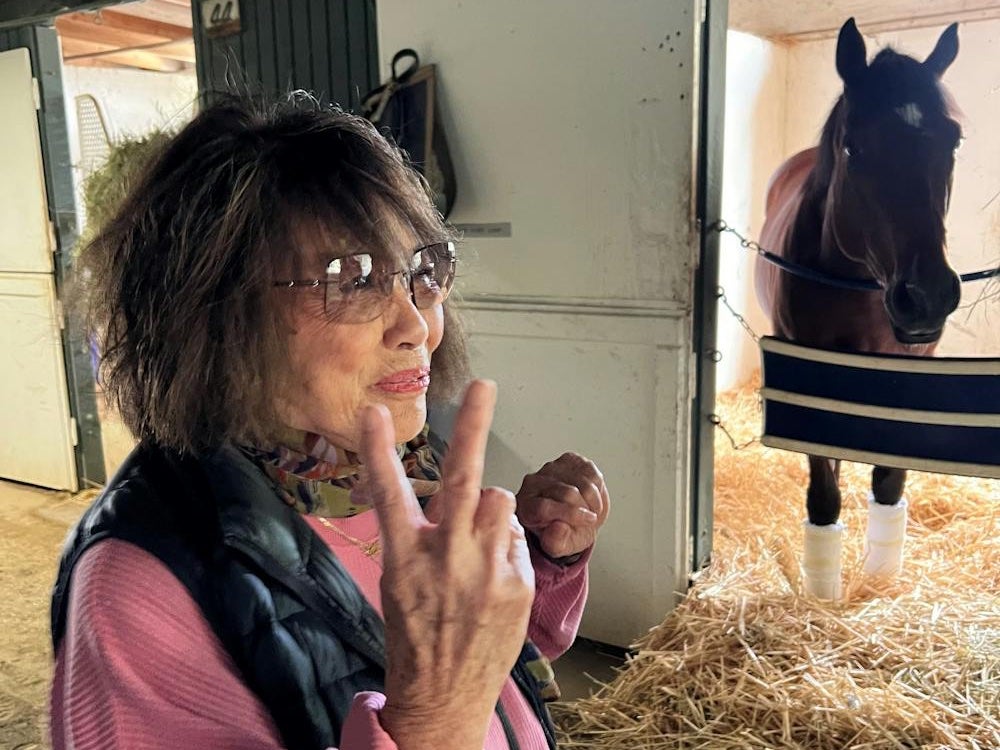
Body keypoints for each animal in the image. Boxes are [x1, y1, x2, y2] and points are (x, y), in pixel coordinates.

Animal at [756, 20, 960, 604]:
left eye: (953, 140)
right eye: (854, 147)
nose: (927, 296)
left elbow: (888, 480)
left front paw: (879, 576)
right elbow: (824, 489)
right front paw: (824, 593)